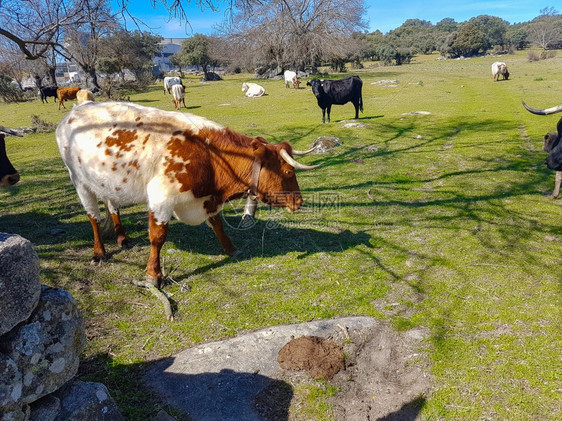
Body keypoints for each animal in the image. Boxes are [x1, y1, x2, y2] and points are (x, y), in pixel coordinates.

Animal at [57, 101, 320, 286]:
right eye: (287, 171)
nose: (299, 201)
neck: (211, 156)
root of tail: (74, 112)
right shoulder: (161, 197)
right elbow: (157, 237)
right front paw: (154, 274)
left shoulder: (207, 200)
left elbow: (217, 224)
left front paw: (231, 249)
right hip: (79, 181)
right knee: (93, 217)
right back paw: (99, 252)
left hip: (108, 183)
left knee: (113, 206)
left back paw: (122, 238)